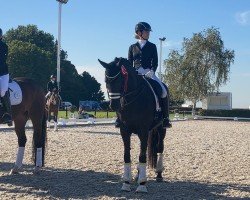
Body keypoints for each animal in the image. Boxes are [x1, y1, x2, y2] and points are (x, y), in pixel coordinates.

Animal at [98, 57, 167, 192]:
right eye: (106, 81)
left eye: (120, 80)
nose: (113, 105)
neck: (134, 98)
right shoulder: (125, 131)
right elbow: (127, 155)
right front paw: (126, 182)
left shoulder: (143, 131)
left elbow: (142, 156)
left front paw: (142, 185)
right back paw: (138, 175)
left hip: (161, 129)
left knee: (160, 148)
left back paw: (159, 174)